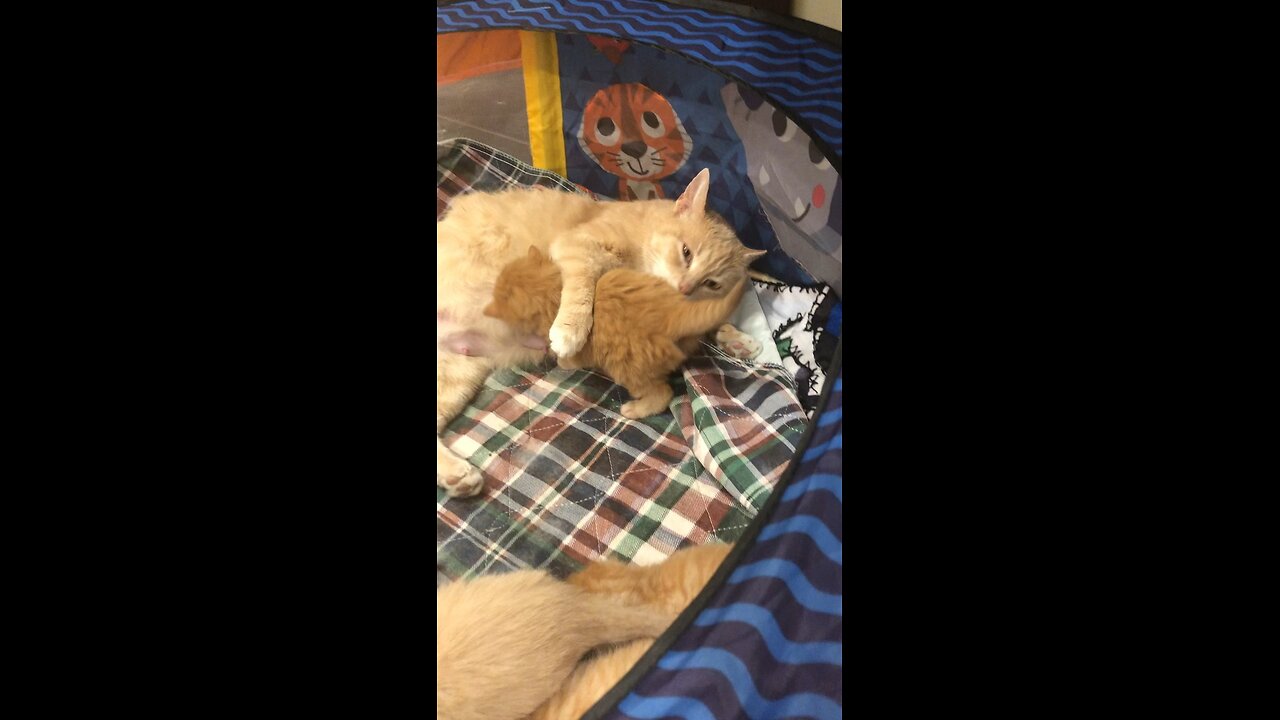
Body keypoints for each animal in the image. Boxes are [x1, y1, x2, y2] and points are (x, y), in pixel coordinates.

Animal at [483, 243, 752, 417]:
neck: (555, 293)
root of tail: (673, 313)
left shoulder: (580, 353)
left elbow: (570, 360)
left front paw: (560, 361)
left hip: (629, 371)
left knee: (662, 394)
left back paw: (635, 410)